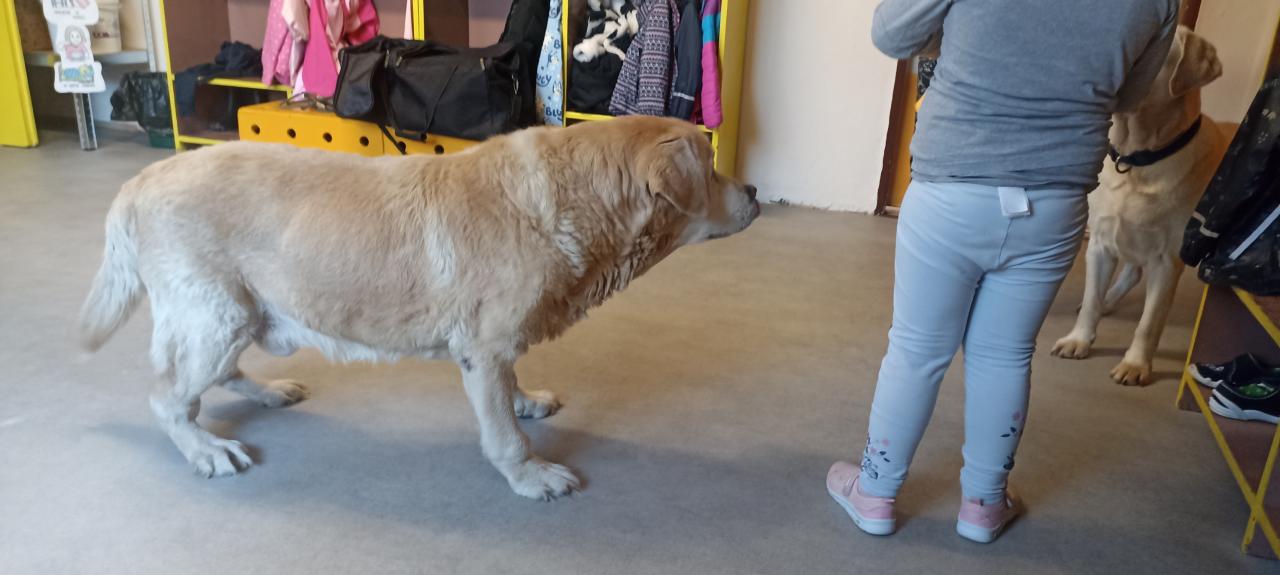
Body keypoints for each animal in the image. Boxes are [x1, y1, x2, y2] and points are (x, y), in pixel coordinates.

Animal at [79, 116, 760, 499]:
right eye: (711, 164)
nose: (754, 190)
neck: (575, 202)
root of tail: (137, 182)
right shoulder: (484, 349)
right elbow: (503, 435)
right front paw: (530, 476)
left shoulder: (498, 347)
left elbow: (511, 391)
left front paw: (526, 400)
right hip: (218, 315)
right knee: (168, 397)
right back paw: (205, 449)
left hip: (240, 314)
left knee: (215, 376)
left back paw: (267, 392)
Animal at [1051, 26, 1226, 386]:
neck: (1136, 160)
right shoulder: (1101, 242)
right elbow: (1090, 299)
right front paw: (1079, 339)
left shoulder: (1167, 260)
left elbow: (1149, 322)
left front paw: (1135, 365)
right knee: (1130, 272)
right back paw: (1107, 301)